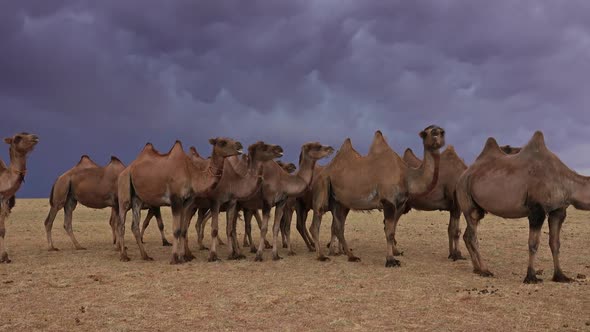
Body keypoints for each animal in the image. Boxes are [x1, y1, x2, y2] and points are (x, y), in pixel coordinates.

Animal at [0, 131, 39, 264]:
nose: (35, 137)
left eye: (27, 133)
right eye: (17, 138)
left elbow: (2, 230)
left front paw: (5, 257)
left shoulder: (4, 201)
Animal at [118, 136, 243, 264]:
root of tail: (127, 169)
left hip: (137, 198)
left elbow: (183, 229)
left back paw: (145, 256)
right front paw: (174, 258)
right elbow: (176, 230)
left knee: (134, 225)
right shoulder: (175, 200)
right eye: (222, 142)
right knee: (121, 225)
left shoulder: (187, 202)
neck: (192, 174)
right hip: (124, 193)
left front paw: (183, 257)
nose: (239, 144)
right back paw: (124, 256)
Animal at [312, 127, 446, 268]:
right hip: (322, 186)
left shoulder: (399, 205)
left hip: (340, 202)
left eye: (442, 132)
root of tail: (323, 171)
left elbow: (391, 230)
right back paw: (321, 256)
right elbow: (389, 232)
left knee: (338, 227)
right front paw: (391, 260)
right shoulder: (388, 202)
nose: (437, 136)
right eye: (427, 132)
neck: (406, 176)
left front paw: (394, 256)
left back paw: (352, 256)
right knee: (316, 222)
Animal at [458, 130, 588, 282]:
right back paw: (485, 270)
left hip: (478, 208)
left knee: (468, 234)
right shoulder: (536, 210)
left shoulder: (558, 210)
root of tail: (464, 174)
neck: (565, 181)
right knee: (473, 235)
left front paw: (560, 276)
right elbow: (533, 243)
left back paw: (477, 269)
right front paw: (531, 277)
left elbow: (555, 243)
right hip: (466, 198)